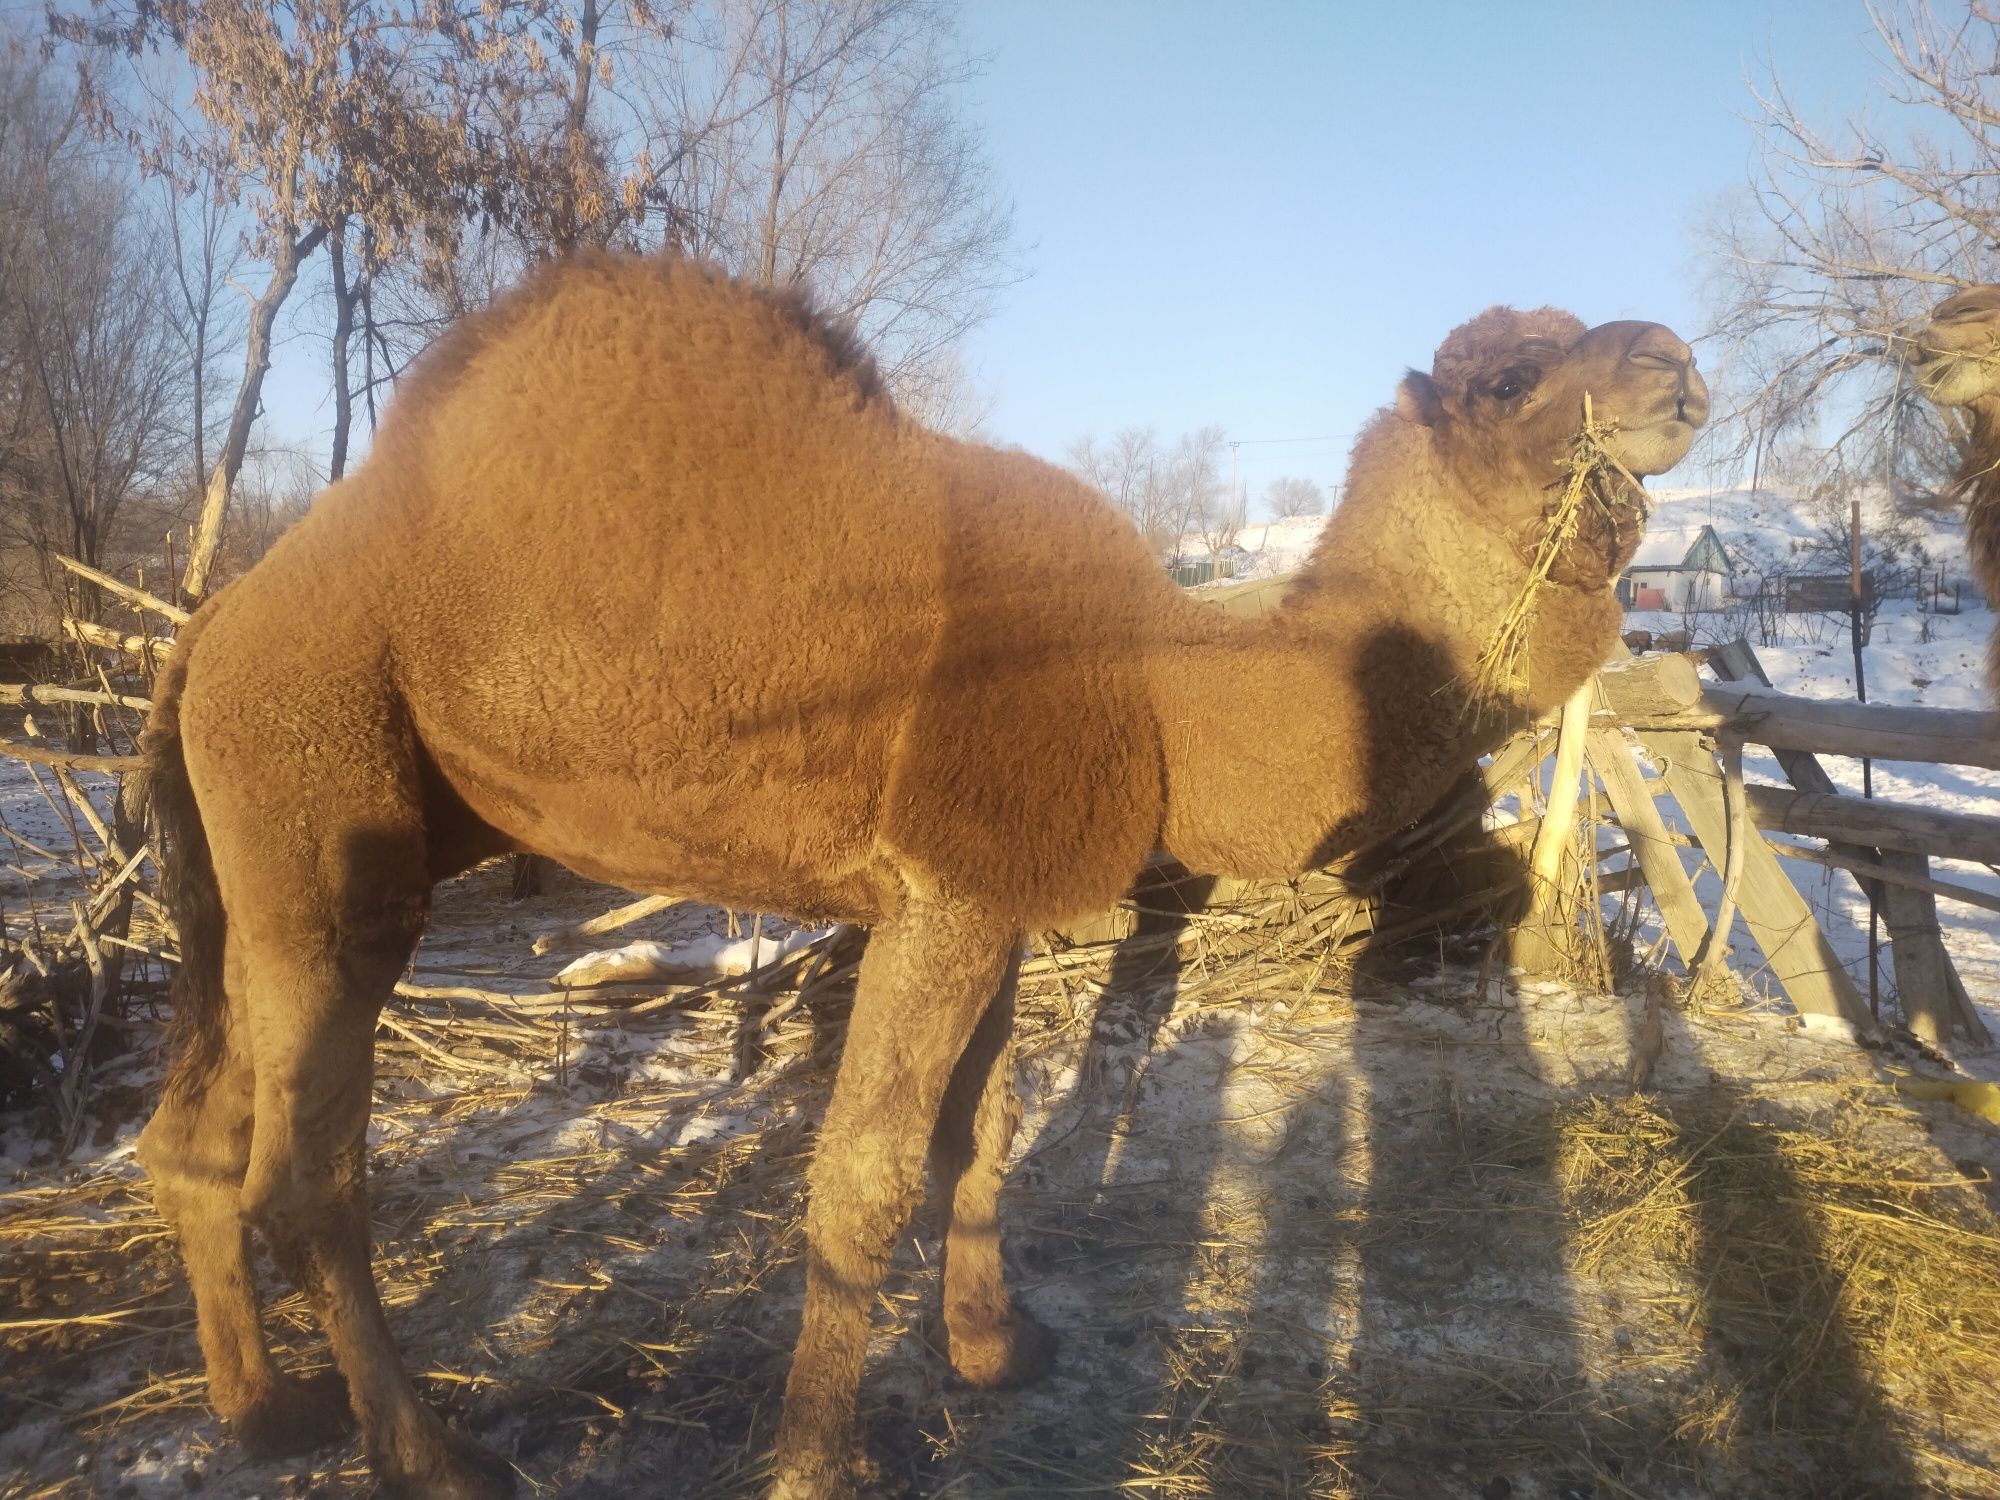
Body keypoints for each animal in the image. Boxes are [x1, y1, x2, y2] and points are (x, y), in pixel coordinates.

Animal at [137, 253, 1704, 1496]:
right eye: (1508, 376)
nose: (1675, 362)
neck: (1160, 685)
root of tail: (211, 622)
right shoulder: (946, 888)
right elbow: (865, 1176)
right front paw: (814, 1465)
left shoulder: (988, 893)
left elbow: (980, 1132)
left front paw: (994, 1349)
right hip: (323, 802)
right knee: (305, 1172)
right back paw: (433, 1457)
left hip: (262, 850)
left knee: (196, 1131)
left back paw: (268, 1413)